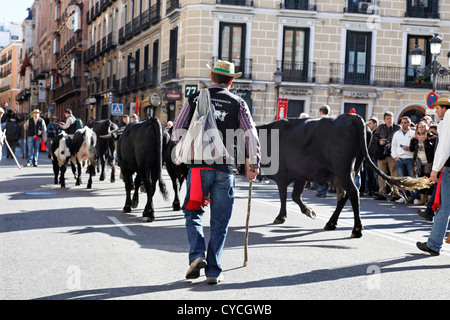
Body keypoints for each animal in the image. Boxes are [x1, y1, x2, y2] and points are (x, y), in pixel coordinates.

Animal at [256, 114, 428, 238]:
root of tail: (351, 117)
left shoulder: (282, 174)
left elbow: (284, 195)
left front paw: (281, 216)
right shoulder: (300, 175)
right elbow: (295, 196)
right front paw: (309, 211)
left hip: (342, 169)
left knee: (353, 192)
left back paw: (356, 229)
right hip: (349, 170)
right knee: (345, 194)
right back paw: (331, 223)